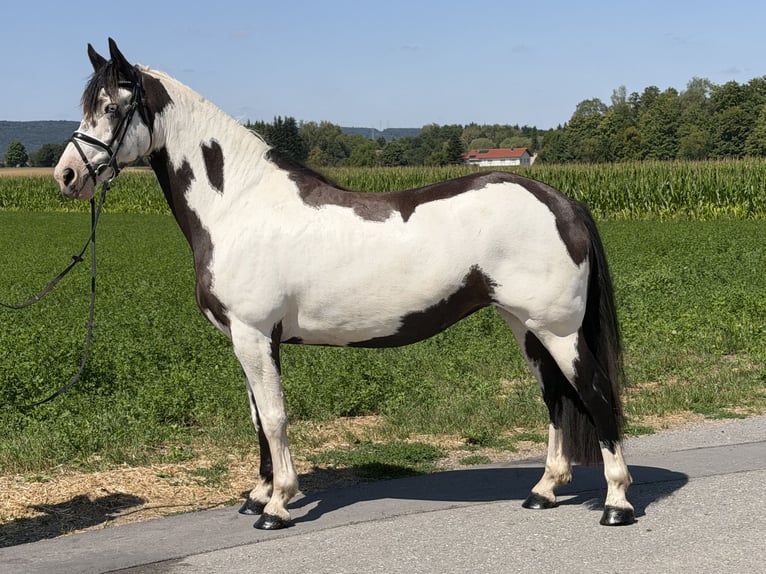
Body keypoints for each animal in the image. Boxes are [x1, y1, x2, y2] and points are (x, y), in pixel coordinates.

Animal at [54, 39, 635, 530]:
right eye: (89, 106)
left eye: (113, 107)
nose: (67, 177)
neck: (239, 205)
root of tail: (562, 200)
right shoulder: (248, 340)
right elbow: (258, 419)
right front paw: (257, 496)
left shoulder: (253, 335)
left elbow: (276, 418)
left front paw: (278, 505)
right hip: (525, 325)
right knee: (556, 397)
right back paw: (544, 491)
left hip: (558, 330)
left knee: (595, 394)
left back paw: (616, 503)